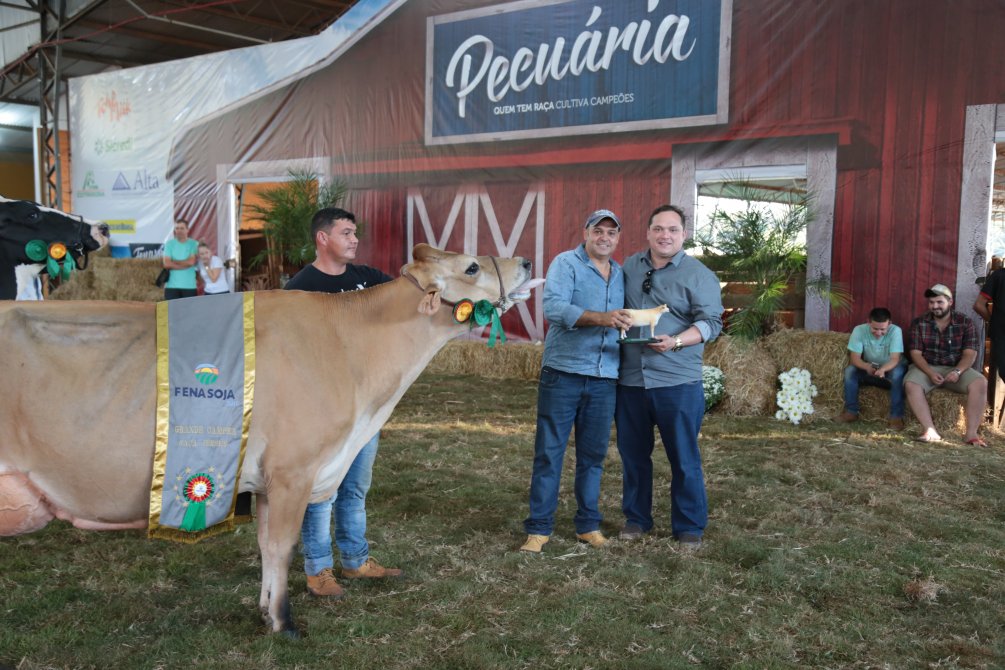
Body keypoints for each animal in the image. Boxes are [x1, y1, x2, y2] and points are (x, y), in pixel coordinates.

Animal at [0, 243, 541, 636]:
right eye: (472, 265)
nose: (528, 260)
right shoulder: (293, 470)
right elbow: (283, 546)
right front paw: (284, 624)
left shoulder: (263, 480)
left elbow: (264, 545)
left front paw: (264, 610)